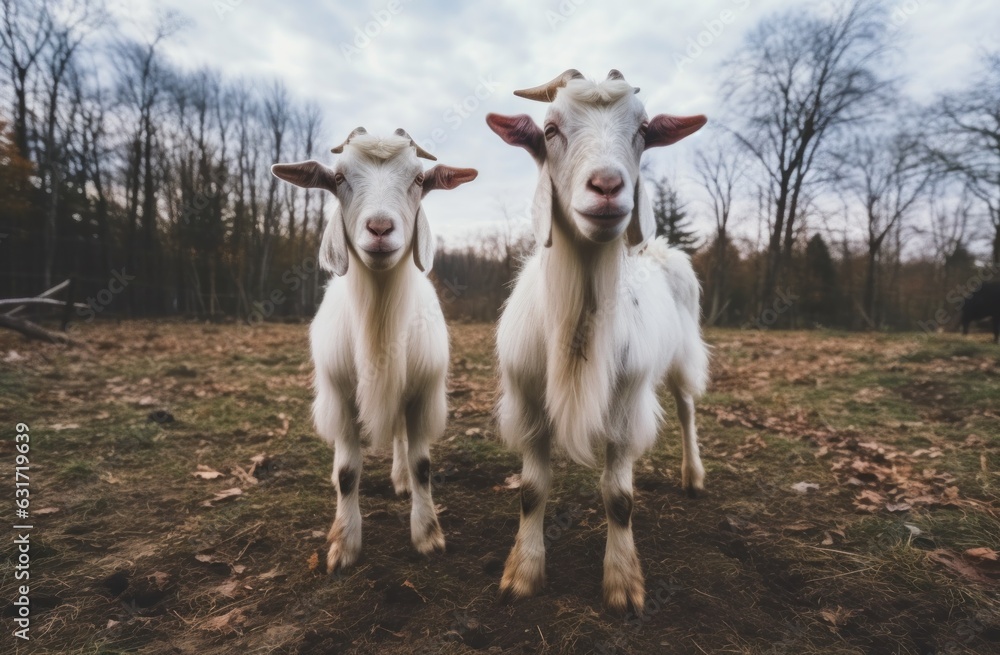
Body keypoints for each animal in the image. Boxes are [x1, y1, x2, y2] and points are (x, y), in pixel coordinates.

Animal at [271, 128, 477, 572]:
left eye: (418, 179)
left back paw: (400, 480)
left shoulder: (421, 392)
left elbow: (422, 464)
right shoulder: (340, 395)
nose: (380, 228)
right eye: (339, 178)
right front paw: (344, 545)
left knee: (401, 439)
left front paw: (427, 534)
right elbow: (347, 472)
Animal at [485, 70, 709, 611]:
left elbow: (620, 497)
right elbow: (531, 489)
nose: (607, 187)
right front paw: (523, 573)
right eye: (550, 130)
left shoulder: (626, 401)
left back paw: (693, 476)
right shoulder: (528, 401)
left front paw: (623, 583)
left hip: (682, 353)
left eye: (643, 130)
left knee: (687, 406)